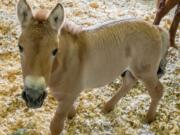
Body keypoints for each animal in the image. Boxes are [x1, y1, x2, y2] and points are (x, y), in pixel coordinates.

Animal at [16, 0, 169, 135]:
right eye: (20, 47)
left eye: (54, 50)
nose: (33, 97)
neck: (66, 62)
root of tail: (157, 29)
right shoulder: (61, 93)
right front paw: (72, 115)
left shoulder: (70, 94)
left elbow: (56, 126)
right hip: (133, 70)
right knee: (128, 83)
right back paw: (108, 107)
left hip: (146, 72)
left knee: (157, 90)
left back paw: (149, 118)